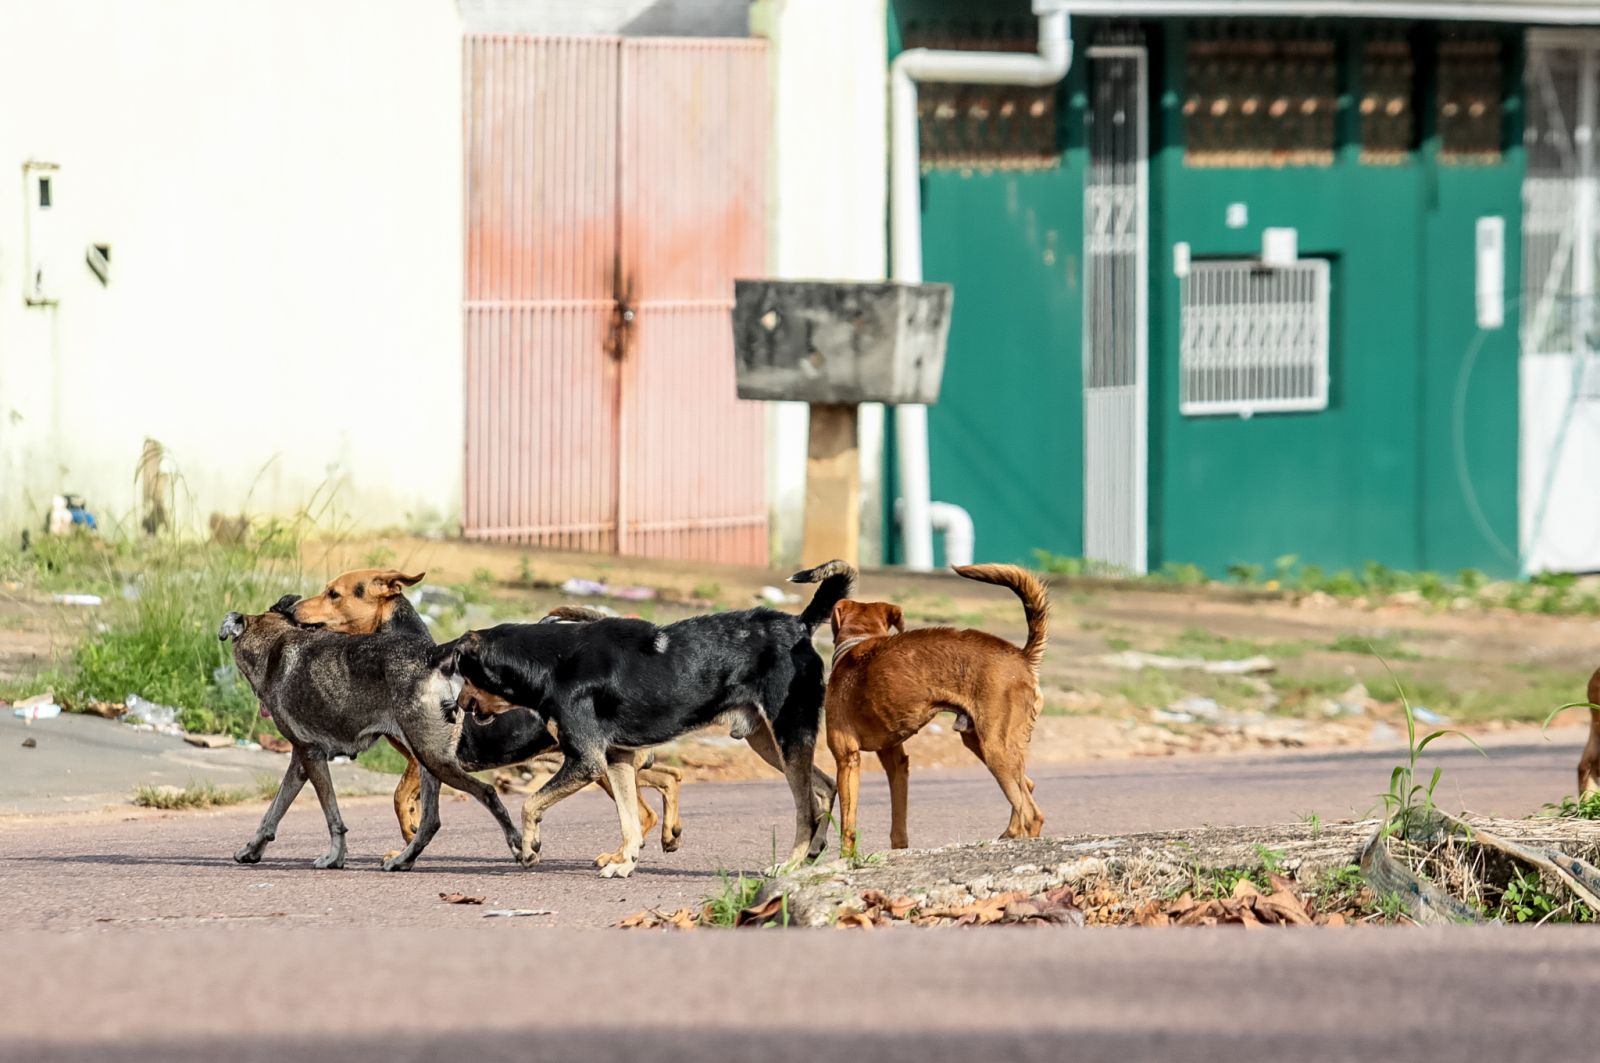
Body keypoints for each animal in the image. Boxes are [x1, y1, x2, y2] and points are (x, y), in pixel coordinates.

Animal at [216, 592, 518, 870]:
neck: (274, 641)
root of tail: (432, 655)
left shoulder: (311, 754)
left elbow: (332, 816)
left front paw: (334, 857)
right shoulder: (301, 762)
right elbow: (273, 812)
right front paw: (252, 849)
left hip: (433, 758)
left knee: (487, 792)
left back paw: (518, 845)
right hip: (427, 762)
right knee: (430, 821)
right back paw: (403, 860)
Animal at [444, 560, 857, 877]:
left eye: (463, 674)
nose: (454, 708)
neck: (549, 662)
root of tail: (799, 624)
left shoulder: (587, 761)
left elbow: (530, 803)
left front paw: (530, 846)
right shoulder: (617, 759)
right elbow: (629, 819)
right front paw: (625, 863)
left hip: (788, 734)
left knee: (806, 808)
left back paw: (791, 863)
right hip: (768, 742)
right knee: (823, 787)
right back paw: (813, 852)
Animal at [825, 563, 1049, 858]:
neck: (856, 641)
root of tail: (1022, 656)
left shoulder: (846, 758)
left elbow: (847, 825)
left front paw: (845, 860)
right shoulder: (897, 761)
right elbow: (898, 825)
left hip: (995, 748)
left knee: (1031, 813)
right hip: (979, 741)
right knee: (1028, 788)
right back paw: (1009, 834)